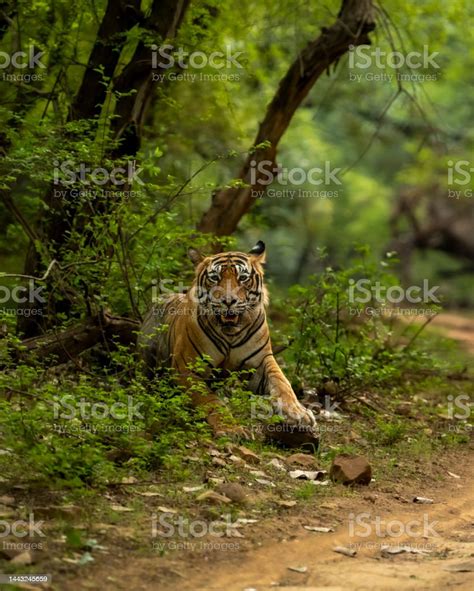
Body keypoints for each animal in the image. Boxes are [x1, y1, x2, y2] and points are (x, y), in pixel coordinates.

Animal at [137, 240, 314, 434]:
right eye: (215, 278)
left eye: (243, 278)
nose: (229, 301)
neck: (230, 333)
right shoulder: (187, 369)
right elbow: (211, 400)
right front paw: (232, 429)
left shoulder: (262, 361)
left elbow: (282, 382)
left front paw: (298, 413)